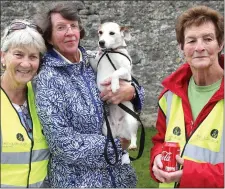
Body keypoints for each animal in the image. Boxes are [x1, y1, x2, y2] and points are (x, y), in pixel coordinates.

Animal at [88, 21, 138, 151]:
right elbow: (94, 58)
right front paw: (90, 52)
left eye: (112, 33)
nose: (101, 42)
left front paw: (114, 85)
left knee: (134, 135)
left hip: (131, 121)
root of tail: (119, 132)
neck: (110, 52)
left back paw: (133, 145)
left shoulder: (126, 72)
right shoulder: (95, 65)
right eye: (100, 32)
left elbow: (116, 72)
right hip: (106, 128)